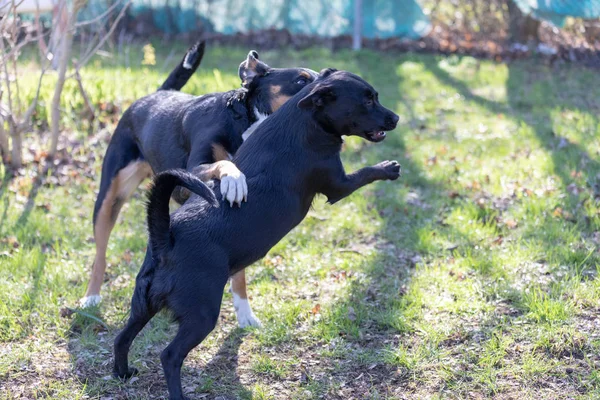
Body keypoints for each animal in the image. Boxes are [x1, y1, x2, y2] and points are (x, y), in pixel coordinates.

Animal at [82, 42, 322, 330]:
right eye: (301, 80)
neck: (244, 120)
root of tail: (158, 94)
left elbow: (239, 272)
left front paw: (244, 313)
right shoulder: (191, 173)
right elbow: (224, 164)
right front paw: (234, 179)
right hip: (110, 197)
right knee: (100, 253)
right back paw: (91, 297)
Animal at [114, 69, 400, 400]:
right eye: (367, 100)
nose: (396, 118)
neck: (304, 119)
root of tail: (166, 239)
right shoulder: (338, 185)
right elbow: (366, 173)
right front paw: (388, 167)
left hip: (143, 304)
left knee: (122, 337)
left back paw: (122, 373)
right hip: (201, 314)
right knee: (170, 356)